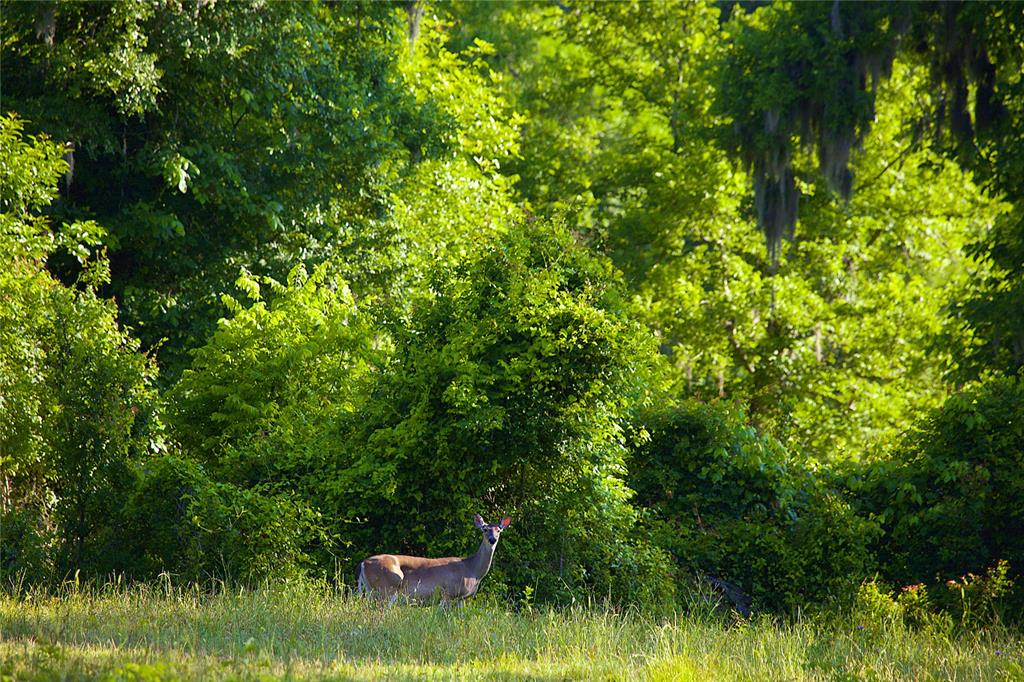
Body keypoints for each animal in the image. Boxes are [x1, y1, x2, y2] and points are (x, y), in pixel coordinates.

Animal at [358, 512, 509, 602]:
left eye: (499, 530)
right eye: (485, 529)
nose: (492, 539)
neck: (472, 570)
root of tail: (363, 563)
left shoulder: (461, 599)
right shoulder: (448, 593)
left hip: (372, 590)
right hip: (387, 587)